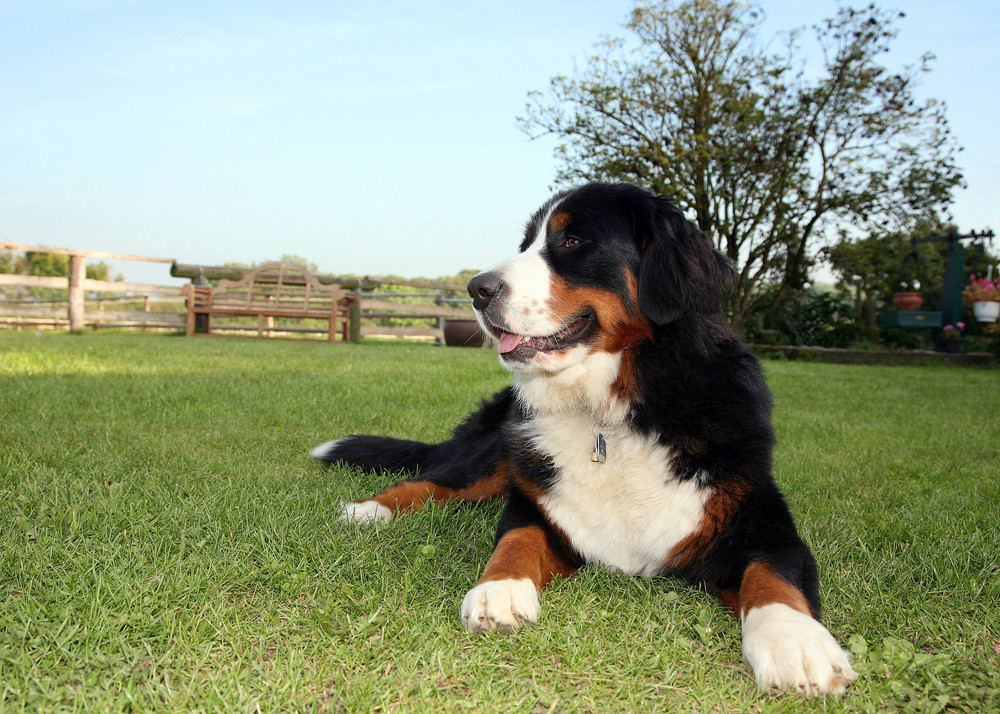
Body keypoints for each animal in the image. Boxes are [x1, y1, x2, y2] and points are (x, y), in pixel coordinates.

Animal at [308, 181, 856, 692]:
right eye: (527, 243)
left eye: (572, 240)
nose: (476, 288)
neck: (608, 417)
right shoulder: (539, 505)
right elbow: (517, 539)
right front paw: (499, 590)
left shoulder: (760, 521)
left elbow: (772, 577)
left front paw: (795, 643)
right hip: (499, 449)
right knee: (434, 481)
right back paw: (369, 510)